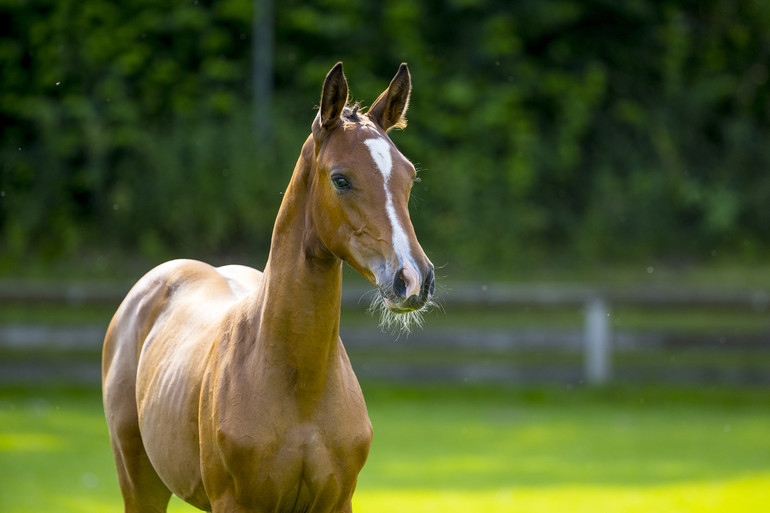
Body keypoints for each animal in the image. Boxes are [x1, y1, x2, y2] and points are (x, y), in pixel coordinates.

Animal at [102, 64, 436, 512]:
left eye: (409, 176)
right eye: (341, 179)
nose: (413, 278)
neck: (300, 387)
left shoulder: (338, 501)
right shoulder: (234, 503)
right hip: (139, 483)